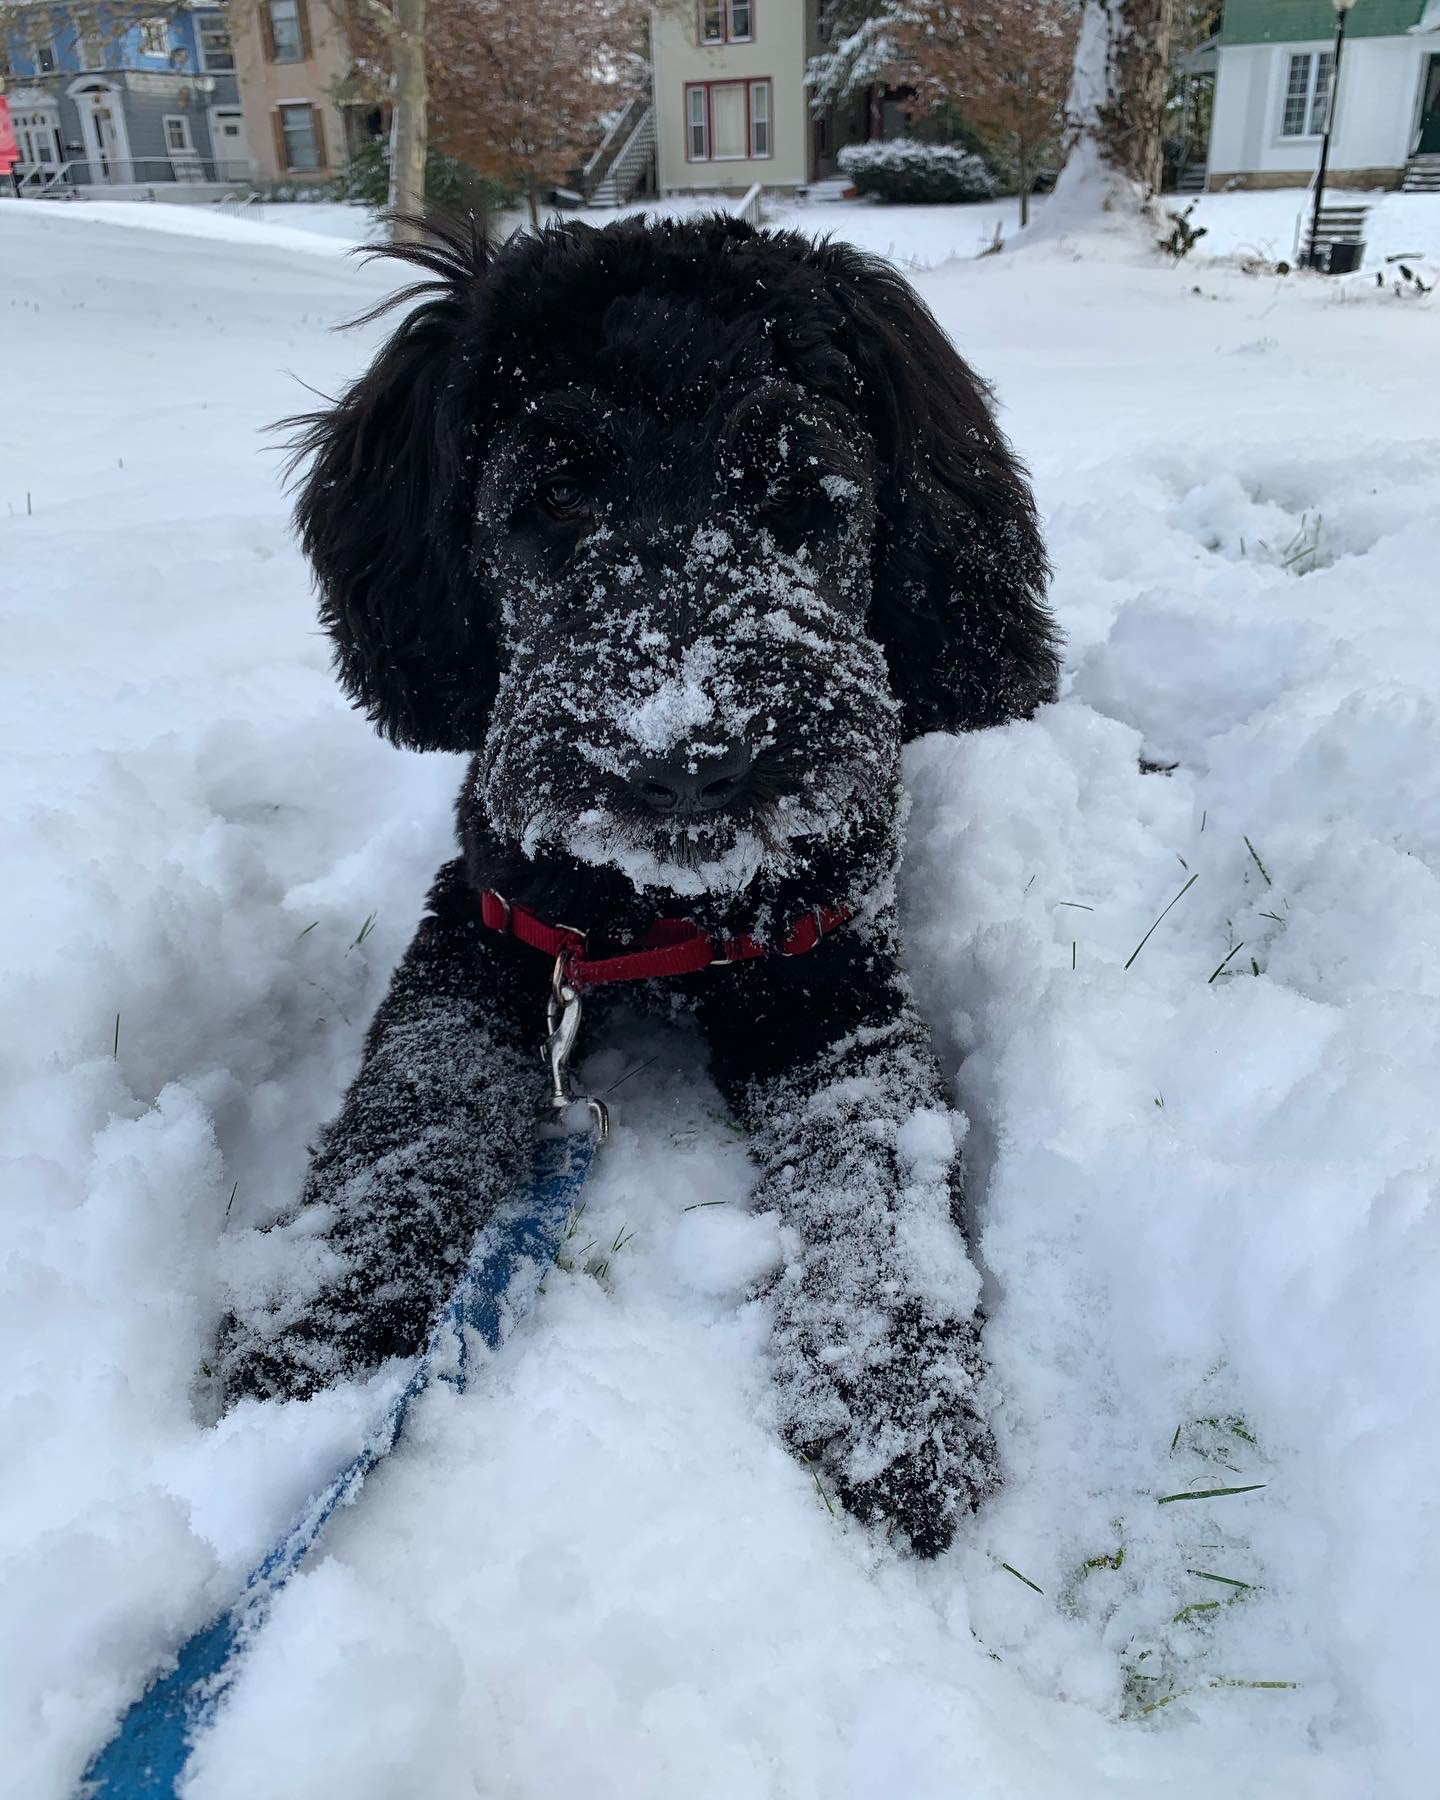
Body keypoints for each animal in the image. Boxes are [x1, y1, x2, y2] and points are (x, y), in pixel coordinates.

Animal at [225, 214, 1058, 1562]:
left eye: (798, 499)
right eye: (555, 497)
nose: (691, 760)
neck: (665, 918)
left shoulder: (834, 992)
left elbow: (876, 1167)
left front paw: (894, 1398)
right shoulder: (484, 946)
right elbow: (410, 1109)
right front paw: (319, 1313)